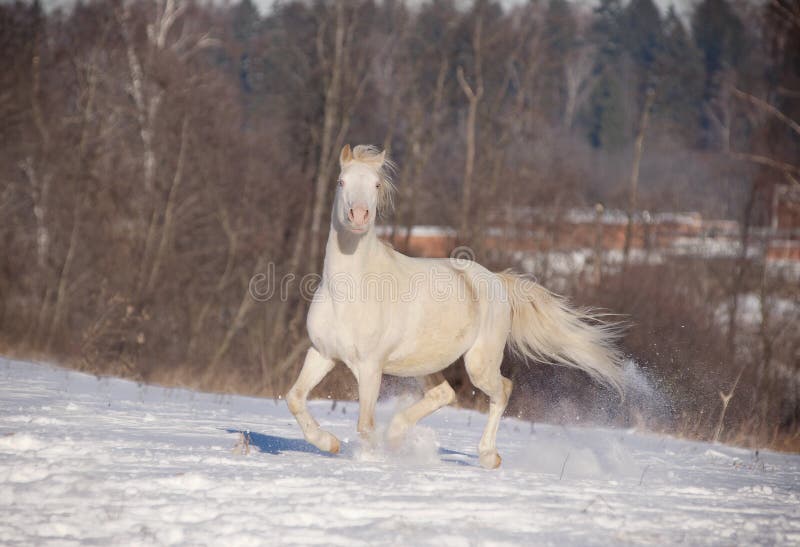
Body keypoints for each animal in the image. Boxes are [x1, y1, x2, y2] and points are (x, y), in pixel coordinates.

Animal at [288, 146, 624, 470]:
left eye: (376, 184)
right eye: (341, 182)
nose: (359, 215)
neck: (348, 291)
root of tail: (496, 280)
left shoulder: (370, 367)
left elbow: (364, 426)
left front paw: (369, 461)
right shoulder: (323, 354)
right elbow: (295, 399)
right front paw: (328, 443)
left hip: (479, 363)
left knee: (502, 389)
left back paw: (488, 456)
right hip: (425, 363)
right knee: (444, 393)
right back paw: (397, 437)